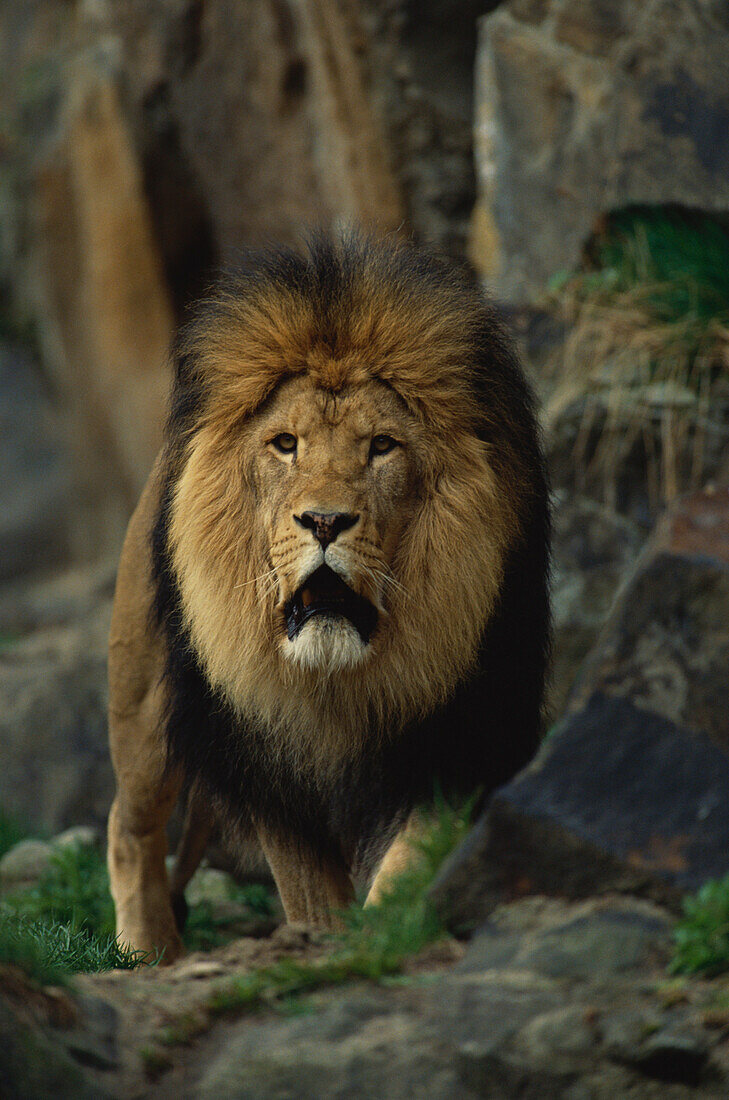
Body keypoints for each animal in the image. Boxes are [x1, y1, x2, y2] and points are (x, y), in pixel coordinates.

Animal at [107, 234, 554, 963]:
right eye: (286, 445)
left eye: (382, 446)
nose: (323, 521)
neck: (336, 684)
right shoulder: (271, 768)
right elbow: (310, 898)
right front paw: (328, 941)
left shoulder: (452, 739)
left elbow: (407, 863)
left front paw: (385, 931)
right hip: (142, 701)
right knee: (130, 824)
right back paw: (145, 952)